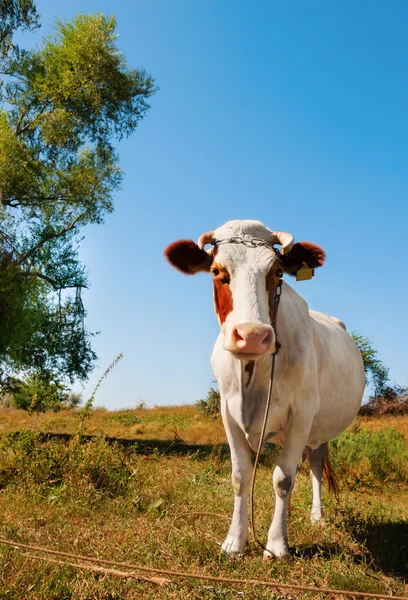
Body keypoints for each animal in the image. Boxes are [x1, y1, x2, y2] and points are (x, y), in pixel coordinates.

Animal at [164, 219, 364, 556]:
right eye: (216, 270)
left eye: (278, 271)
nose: (252, 336)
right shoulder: (228, 412)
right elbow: (240, 476)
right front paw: (234, 541)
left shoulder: (301, 415)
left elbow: (283, 479)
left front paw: (276, 544)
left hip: (319, 428)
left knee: (315, 465)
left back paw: (317, 517)